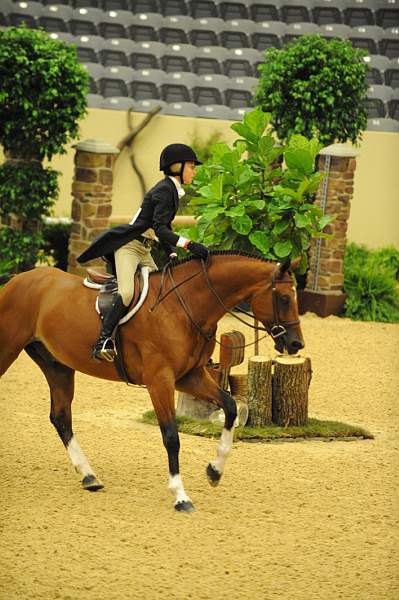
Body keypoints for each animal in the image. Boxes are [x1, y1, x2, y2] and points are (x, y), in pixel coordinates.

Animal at [0, 252, 304, 510]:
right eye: (284, 298)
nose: (296, 344)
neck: (184, 305)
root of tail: (16, 280)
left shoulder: (189, 376)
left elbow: (230, 407)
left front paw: (214, 471)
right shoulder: (160, 380)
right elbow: (171, 436)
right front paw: (181, 496)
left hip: (58, 366)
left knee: (61, 416)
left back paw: (89, 476)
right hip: (9, 350)